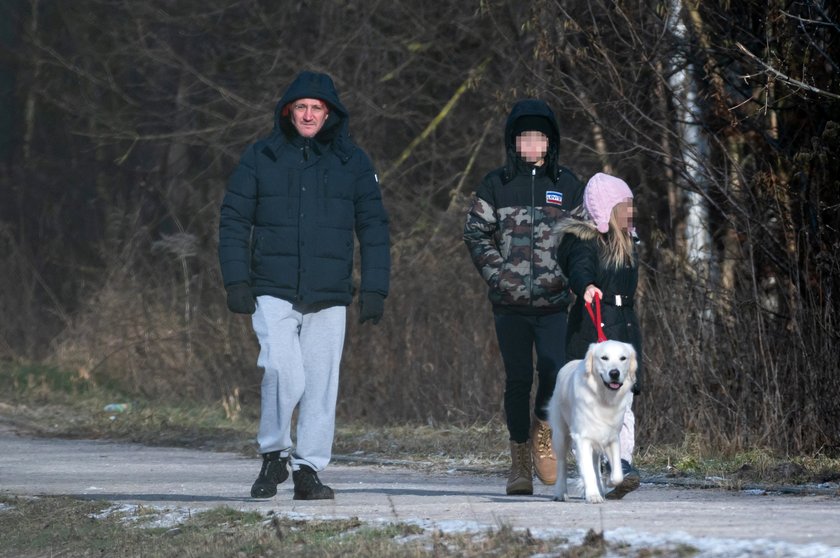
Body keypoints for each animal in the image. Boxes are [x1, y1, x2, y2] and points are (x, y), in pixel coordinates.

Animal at [544, 340, 636, 506]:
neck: (604, 398)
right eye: (604, 358)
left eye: (623, 358)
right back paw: (561, 492)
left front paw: (610, 482)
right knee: (562, 464)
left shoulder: (612, 437)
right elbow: (587, 470)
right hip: (561, 435)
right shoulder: (582, 438)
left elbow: (617, 474)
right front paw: (593, 495)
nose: (614, 373)